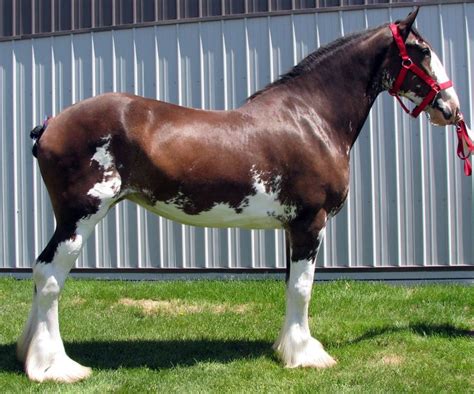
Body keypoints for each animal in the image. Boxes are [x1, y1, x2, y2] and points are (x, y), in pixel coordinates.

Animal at [17, 8, 466, 382]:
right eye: (423, 51)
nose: (452, 108)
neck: (310, 119)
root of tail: (51, 125)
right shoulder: (310, 222)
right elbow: (303, 287)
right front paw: (306, 356)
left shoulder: (292, 226)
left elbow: (290, 284)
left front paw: (287, 348)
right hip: (81, 215)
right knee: (50, 275)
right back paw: (56, 367)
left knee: (41, 274)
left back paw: (28, 354)